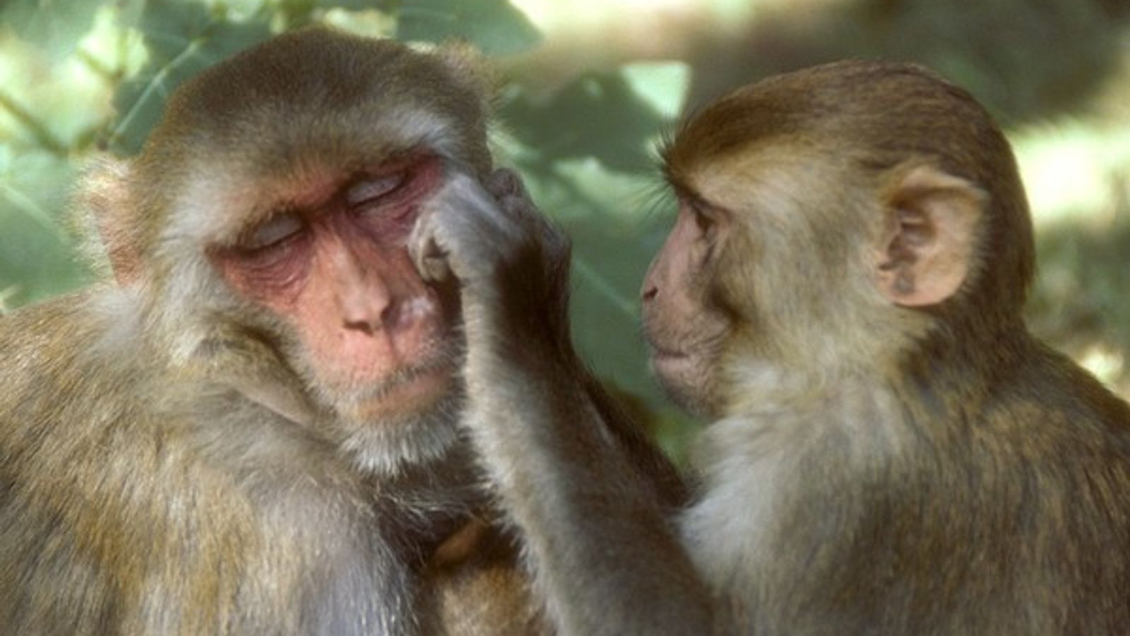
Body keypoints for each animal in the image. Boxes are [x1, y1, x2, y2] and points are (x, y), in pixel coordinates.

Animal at [413, 59, 1130, 635]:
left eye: (704, 220)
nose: (649, 286)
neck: (896, 368)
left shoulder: (836, 485)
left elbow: (670, 622)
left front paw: (514, 284)